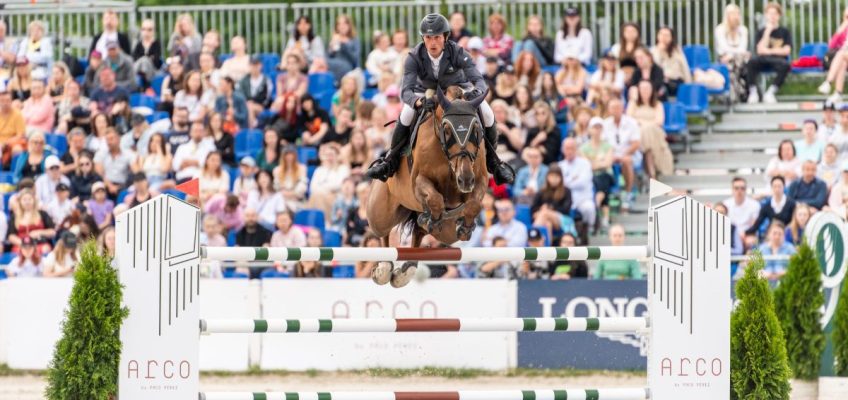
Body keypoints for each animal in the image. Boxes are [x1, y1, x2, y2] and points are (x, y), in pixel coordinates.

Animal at [366, 86, 490, 288]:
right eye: (446, 130)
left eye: (476, 129)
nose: (465, 180)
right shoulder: (419, 181)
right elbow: (435, 197)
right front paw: (433, 217)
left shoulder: (478, 180)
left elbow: (473, 203)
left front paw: (465, 227)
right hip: (380, 212)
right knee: (383, 232)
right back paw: (384, 268)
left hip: (447, 235)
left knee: (418, 233)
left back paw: (406, 269)